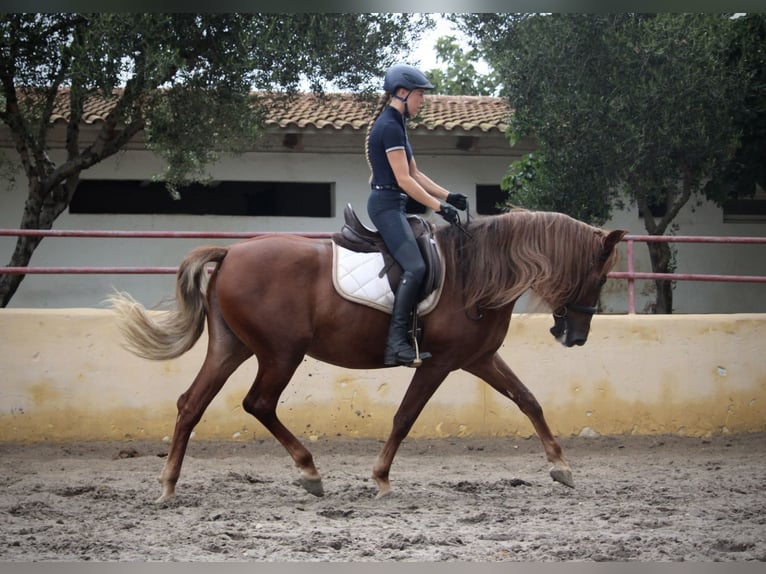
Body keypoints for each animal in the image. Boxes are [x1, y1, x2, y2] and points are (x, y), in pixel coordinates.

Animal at [111, 209, 628, 502]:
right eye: (601, 276)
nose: (576, 336)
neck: (475, 273)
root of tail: (232, 254)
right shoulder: (440, 362)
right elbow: (405, 417)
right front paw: (380, 478)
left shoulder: (478, 358)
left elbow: (528, 401)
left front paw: (561, 467)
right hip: (281, 353)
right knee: (258, 404)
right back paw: (309, 471)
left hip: (231, 348)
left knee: (191, 405)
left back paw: (169, 486)